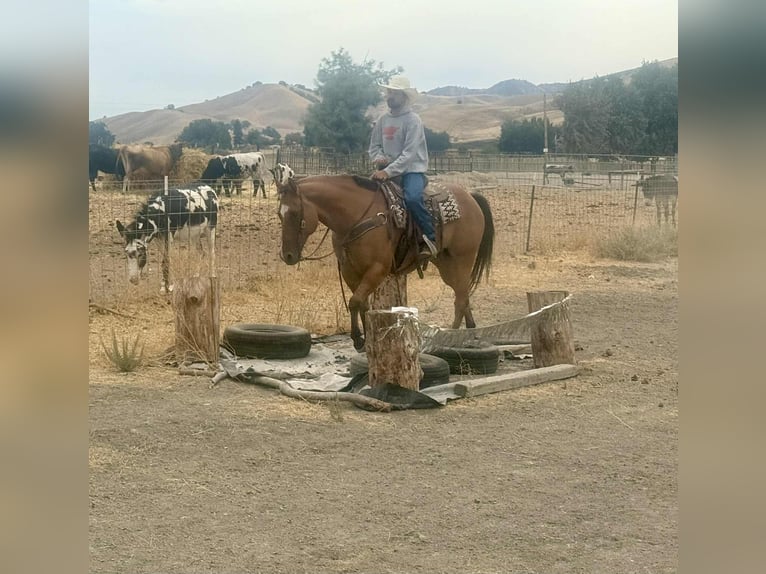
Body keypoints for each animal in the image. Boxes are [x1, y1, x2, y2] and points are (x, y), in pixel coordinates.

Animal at [270, 163, 495, 351]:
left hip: (462, 259)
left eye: (295, 213)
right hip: (446, 264)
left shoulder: (378, 269)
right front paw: (366, 339)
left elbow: (354, 302)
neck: (356, 215)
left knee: (461, 298)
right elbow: (362, 304)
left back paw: (449, 336)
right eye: (279, 214)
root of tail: (470, 196)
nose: (287, 255)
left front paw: (357, 339)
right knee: (462, 294)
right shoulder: (350, 271)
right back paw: (469, 330)